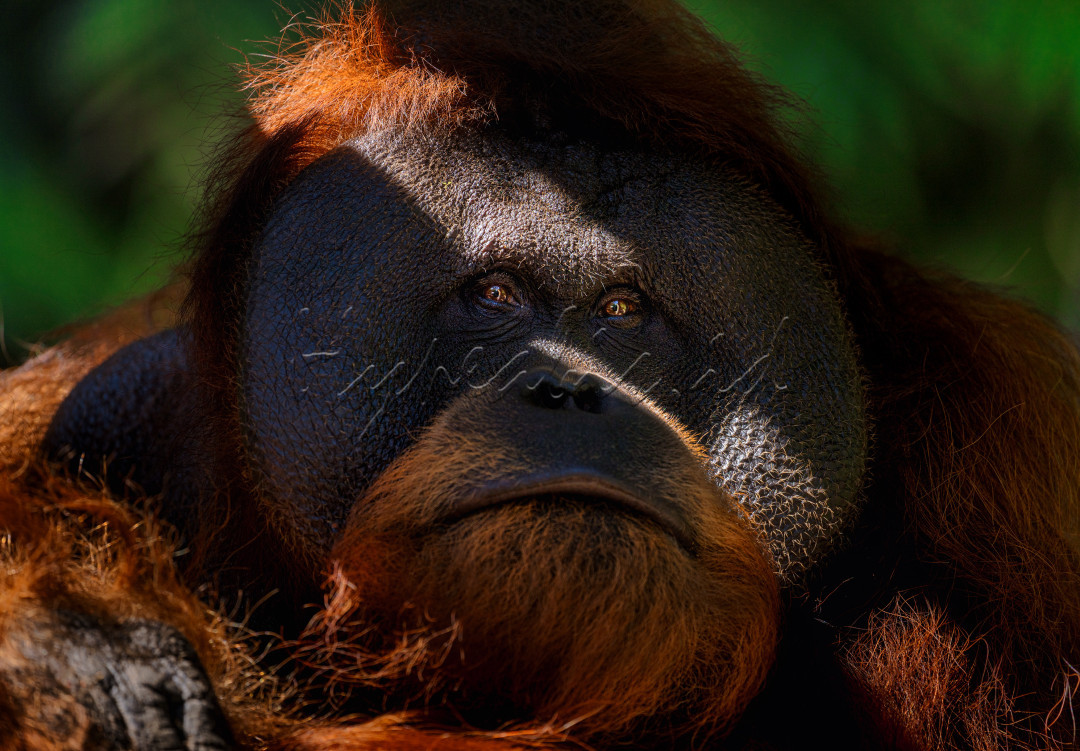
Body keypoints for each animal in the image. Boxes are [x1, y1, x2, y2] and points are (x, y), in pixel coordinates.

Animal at [1, 1, 1078, 750]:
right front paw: (80, 645)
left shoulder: (1012, 442)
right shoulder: (118, 392)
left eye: (621, 308)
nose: (571, 395)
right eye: (496, 294)